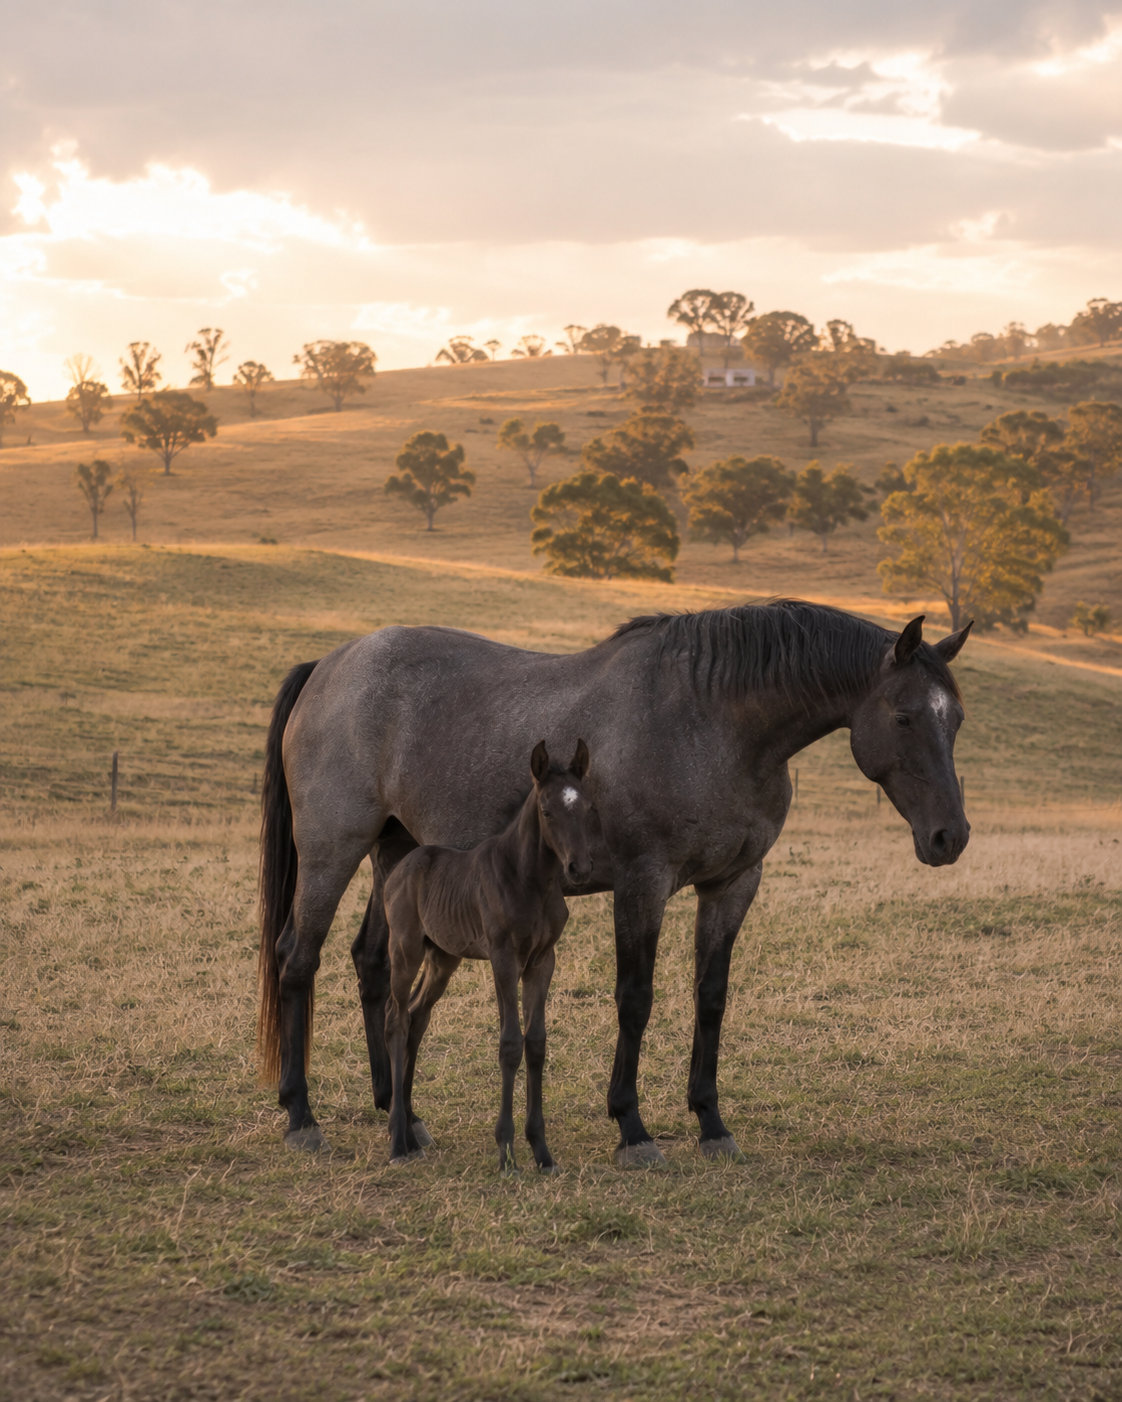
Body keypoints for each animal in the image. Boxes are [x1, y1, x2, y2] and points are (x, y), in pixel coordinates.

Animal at [382, 739, 593, 1171]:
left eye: (586, 806)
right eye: (547, 810)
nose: (579, 868)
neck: (530, 881)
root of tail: (399, 869)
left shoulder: (542, 961)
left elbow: (537, 1043)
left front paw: (542, 1152)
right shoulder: (503, 957)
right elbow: (510, 1042)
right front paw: (506, 1150)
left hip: (443, 958)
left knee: (416, 1016)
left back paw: (410, 1131)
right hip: (405, 949)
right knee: (396, 1019)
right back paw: (397, 1142)